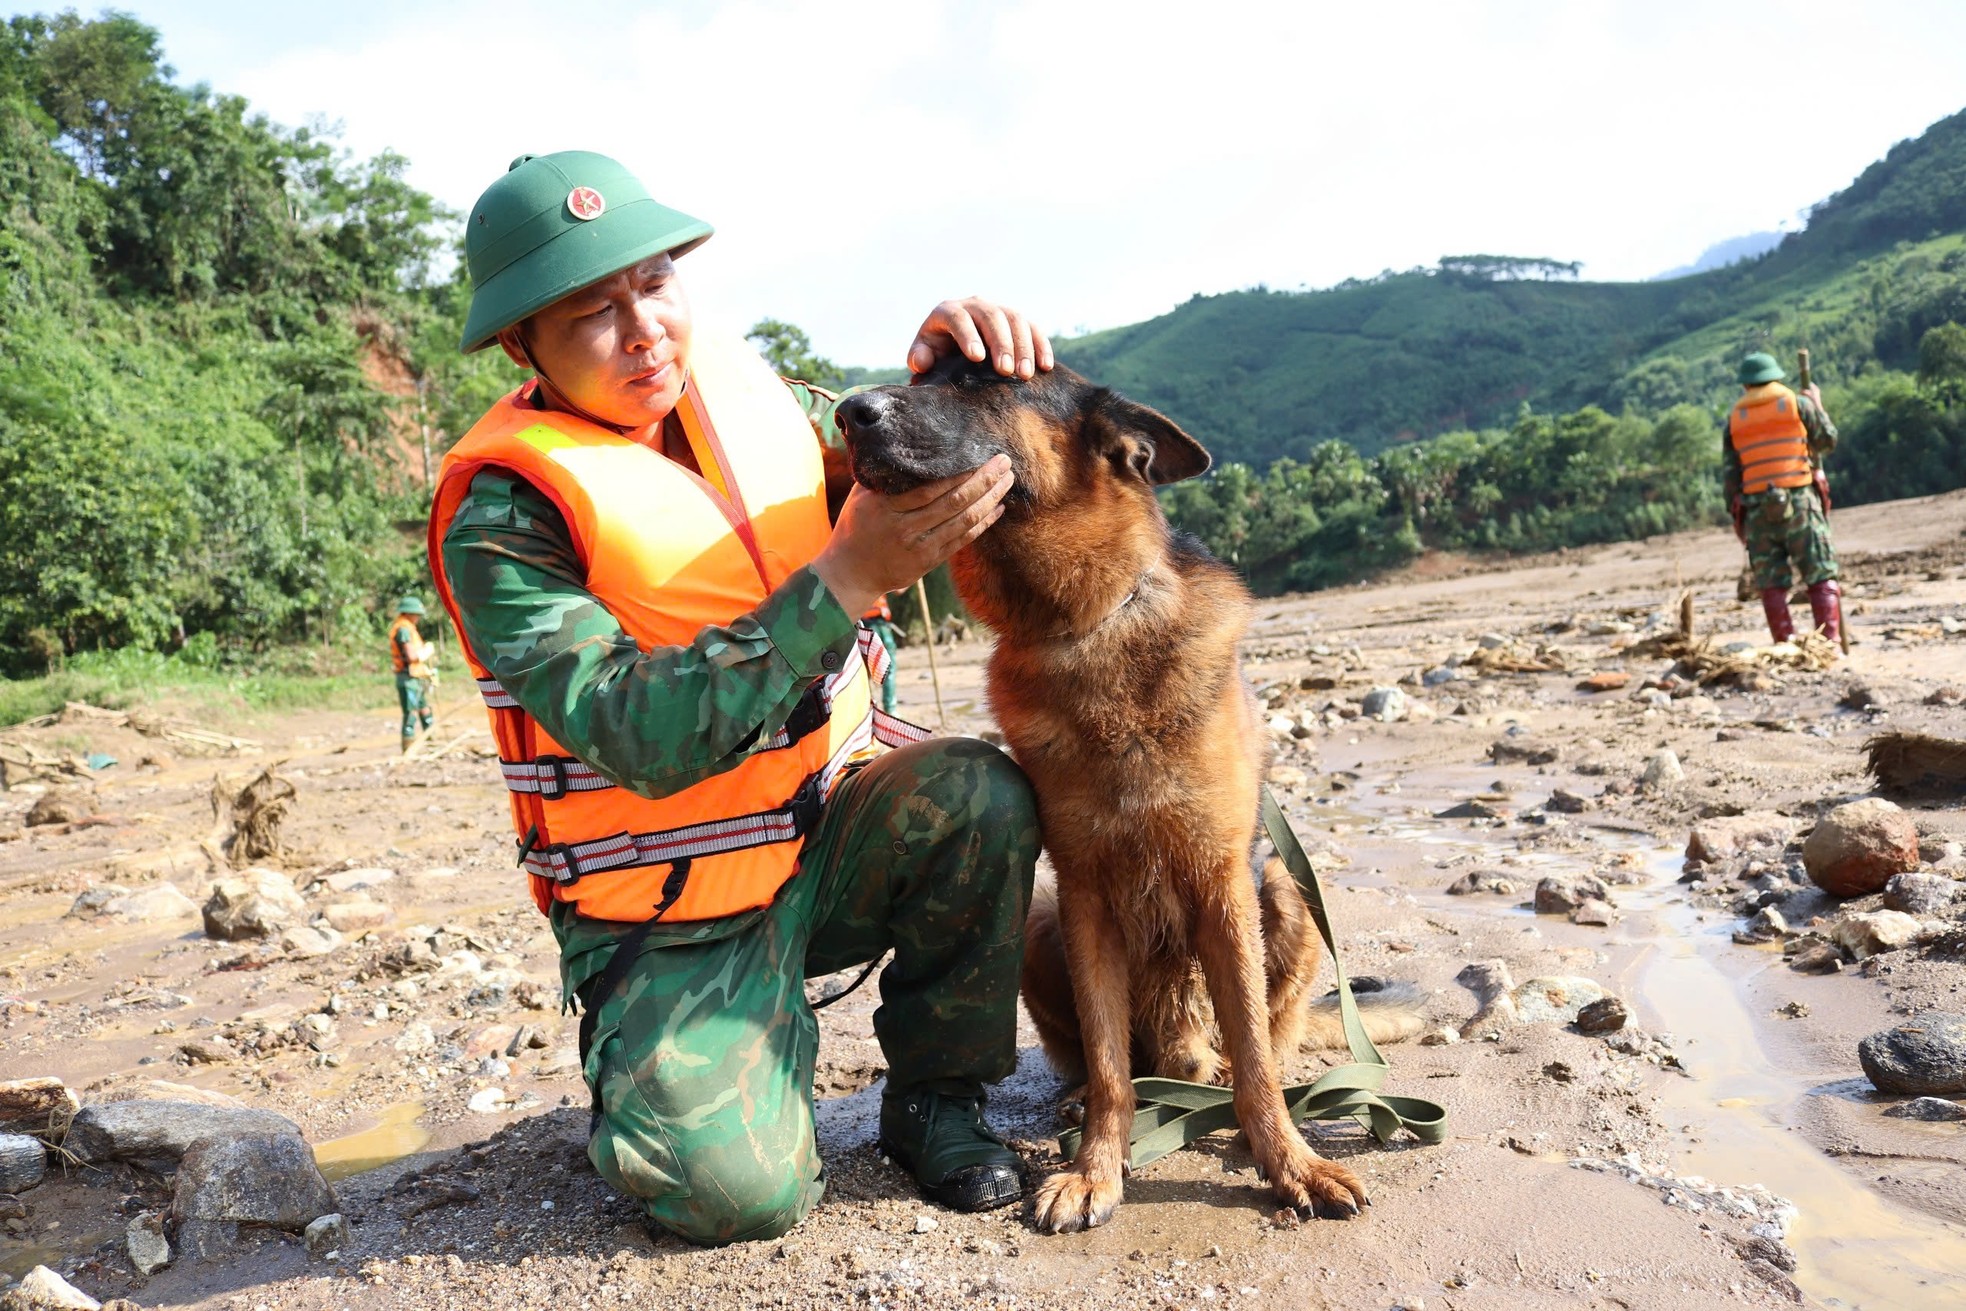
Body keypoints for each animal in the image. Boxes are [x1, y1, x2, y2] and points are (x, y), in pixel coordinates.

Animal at [837, 355, 1423, 1234]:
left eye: (979, 378)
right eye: (923, 370)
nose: (845, 413)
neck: (1085, 626)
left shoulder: (1223, 884)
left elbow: (1256, 1053)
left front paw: (1288, 1161)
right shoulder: (1083, 897)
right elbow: (1113, 1064)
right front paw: (1096, 1168)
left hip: (1283, 889)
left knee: (1264, 1041)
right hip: (1040, 925)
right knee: (1110, 1061)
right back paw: (1092, 1100)